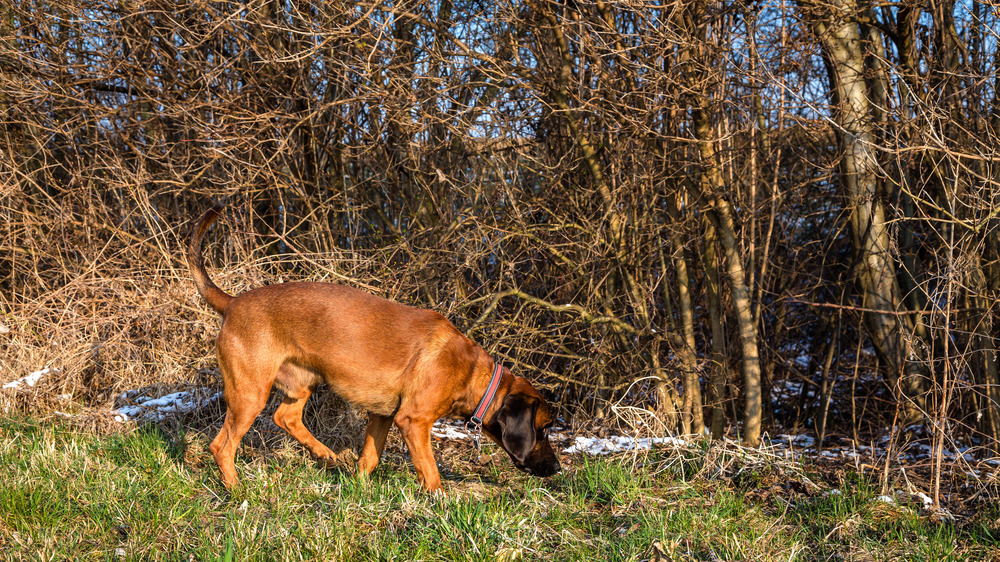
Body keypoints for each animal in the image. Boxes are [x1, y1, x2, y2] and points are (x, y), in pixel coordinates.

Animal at [188, 206, 564, 490]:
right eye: (544, 429)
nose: (557, 469)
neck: (473, 373)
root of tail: (232, 303)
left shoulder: (382, 415)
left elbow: (370, 457)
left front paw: (358, 487)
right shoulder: (413, 421)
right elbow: (430, 472)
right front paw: (441, 503)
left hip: (302, 382)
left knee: (286, 417)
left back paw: (325, 454)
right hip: (250, 393)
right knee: (221, 445)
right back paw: (236, 489)